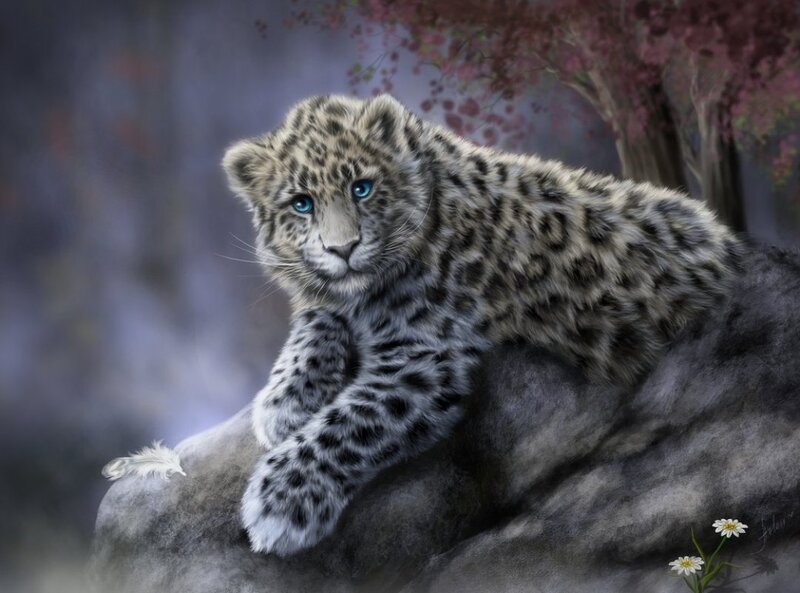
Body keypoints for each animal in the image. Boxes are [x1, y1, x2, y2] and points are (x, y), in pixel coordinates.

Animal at [222, 94, 741, 556]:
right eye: (302, 204)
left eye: (361, 188)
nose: (342, 248)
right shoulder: (337, 303)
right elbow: (315, 320)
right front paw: (284, 401)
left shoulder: (425, 355)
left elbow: (349, 422)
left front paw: (280, 501)